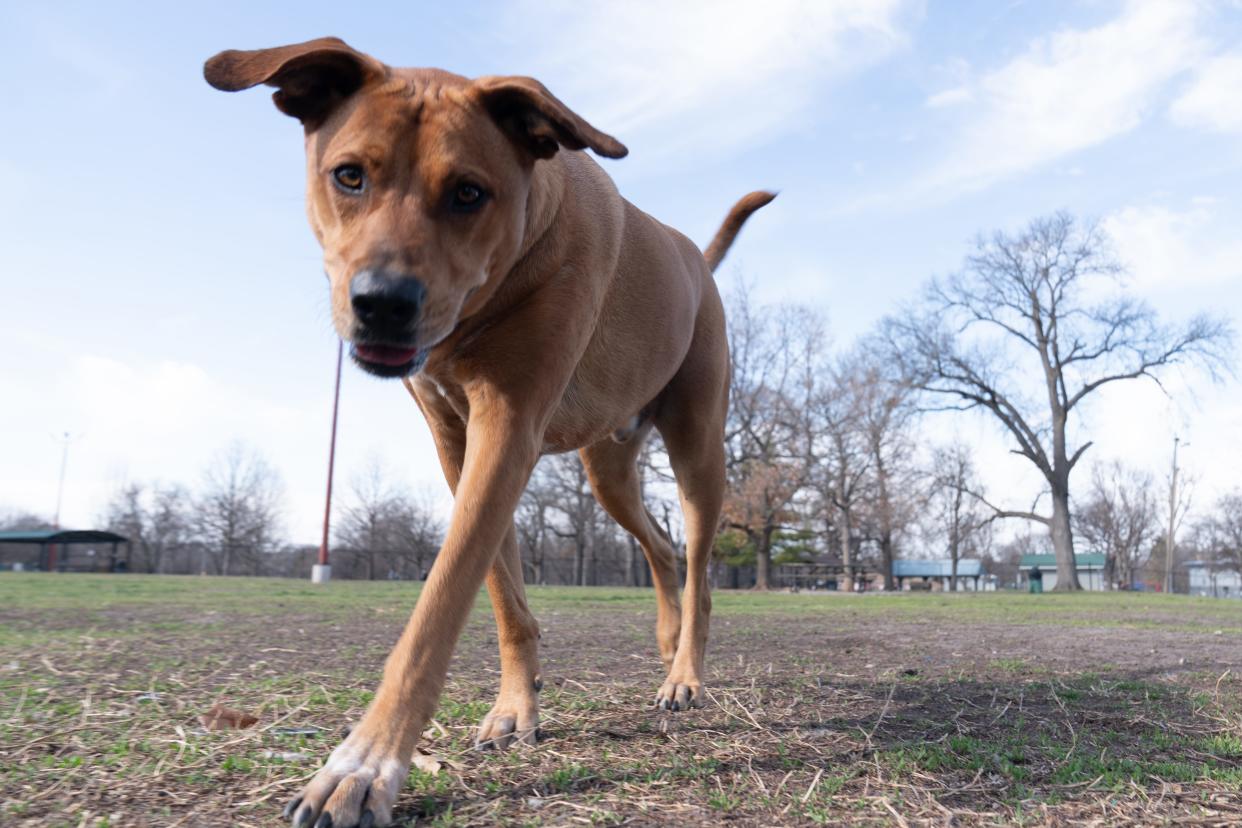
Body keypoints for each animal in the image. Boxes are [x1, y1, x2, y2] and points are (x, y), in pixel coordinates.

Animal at [204, 35, 770, 824]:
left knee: (697, 562)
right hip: (607, 465)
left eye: (469, 193)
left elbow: (439, 605)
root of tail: (694, 258)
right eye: (349, 176)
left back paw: (686, 673)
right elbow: (503, 593)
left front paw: (364, 765)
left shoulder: (509, 425)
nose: (382, 302)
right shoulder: (457, 437)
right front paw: (515, 709)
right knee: (658, 545)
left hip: (697, 444)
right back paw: (665, 643)